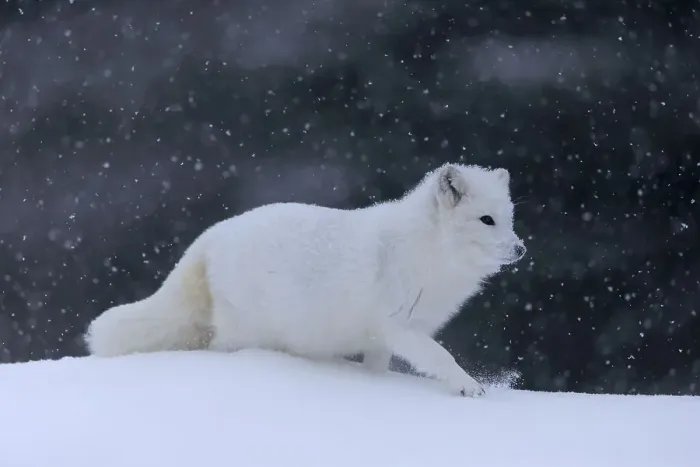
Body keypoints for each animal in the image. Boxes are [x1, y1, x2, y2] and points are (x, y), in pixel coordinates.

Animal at [85, 162, 526, 397]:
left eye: (509, 219)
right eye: (486, 220)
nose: (521, 249)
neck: (430, 249)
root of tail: (208, 237)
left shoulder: (381, 339)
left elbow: (377, 371)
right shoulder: (401, 326)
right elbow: (442, 357)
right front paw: (470, 387)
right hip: (246, 331)